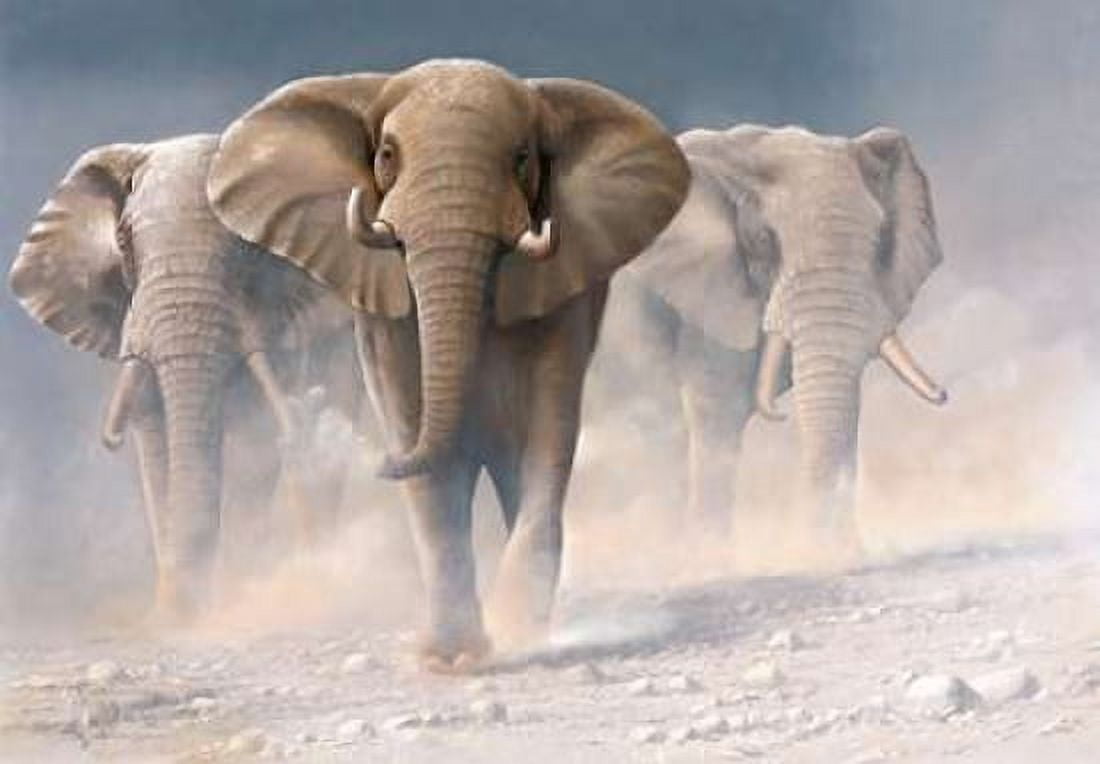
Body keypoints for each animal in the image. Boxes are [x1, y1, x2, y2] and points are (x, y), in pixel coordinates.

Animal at [205, 59, 689, 670]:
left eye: (522, 158)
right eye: (387, 154)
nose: (377, 462)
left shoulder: (566, 294)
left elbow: (548, 434)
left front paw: (517, 633)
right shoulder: (383, 309)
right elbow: (423, 453)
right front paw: (451, 658)